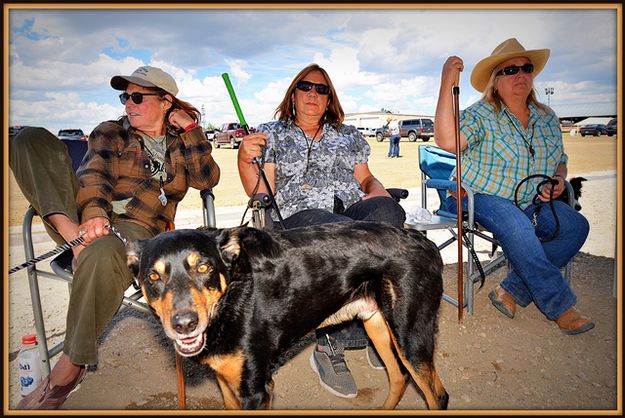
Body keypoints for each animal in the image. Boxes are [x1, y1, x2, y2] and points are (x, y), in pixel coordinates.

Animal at [125, 220, 448, 410]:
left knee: (438, 395)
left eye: (203, 267)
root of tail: (424, 240)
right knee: (399, 377)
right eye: (153, 277)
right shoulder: (227, 383)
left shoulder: (256, 389)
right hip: (378, 326)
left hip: (410, 337)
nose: (184, 324)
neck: (231, 299)